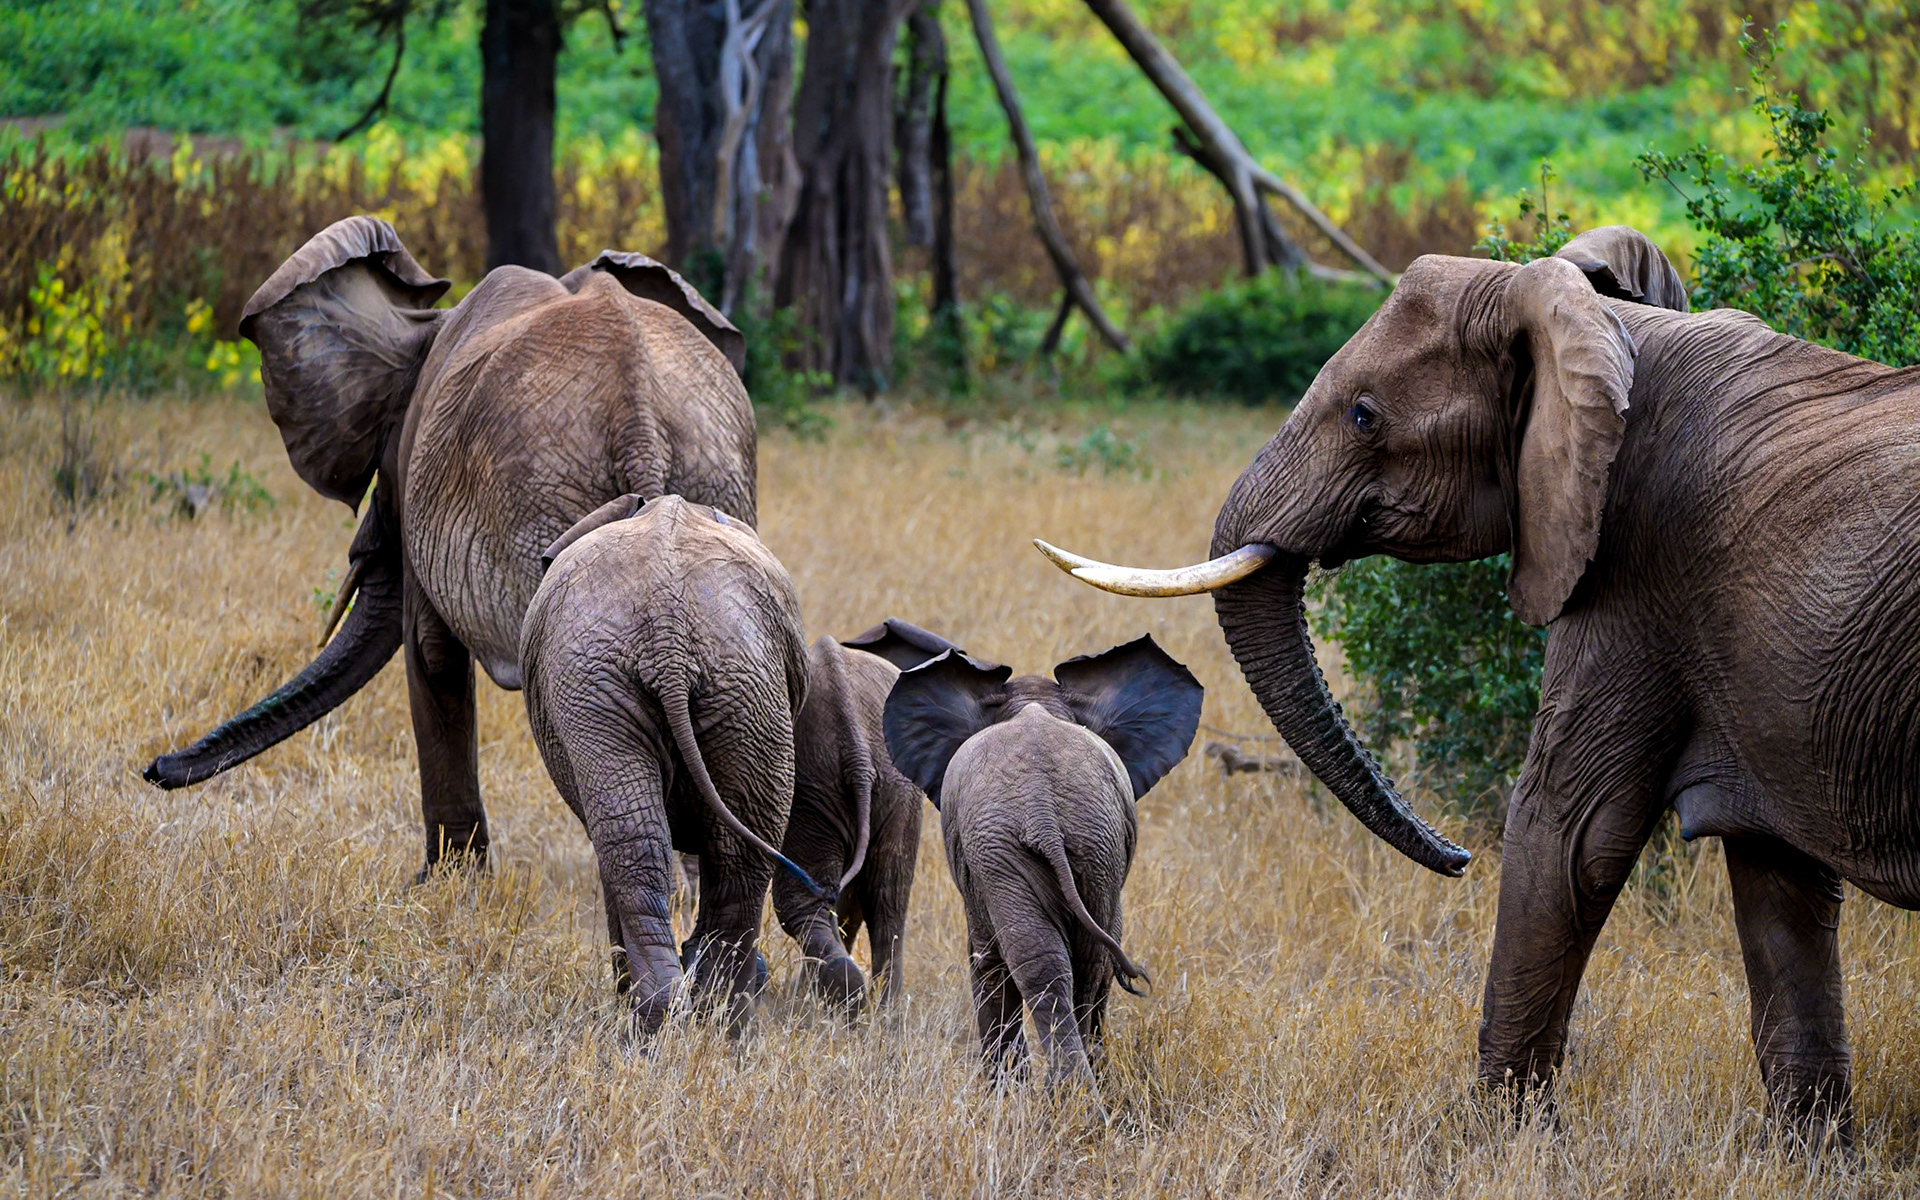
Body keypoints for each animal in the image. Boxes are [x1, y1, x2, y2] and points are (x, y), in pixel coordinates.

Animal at [142, 215, 754, 878]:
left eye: (384, 472)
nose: (154, 768)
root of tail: (640, 416)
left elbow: (431, 655)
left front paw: (441, 884)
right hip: (703, 482)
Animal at [522, 493, 815, 1031]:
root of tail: (668, 638)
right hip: (716, 685)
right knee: (708, 852)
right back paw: (700, 1021)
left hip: (691, 684)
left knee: (677, 849)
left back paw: (687, 1019)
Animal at [773, 619, 958, 1010]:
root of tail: (856, 746)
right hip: (893, 790)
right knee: (887, 902)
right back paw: (883, 1016)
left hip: (811, 789)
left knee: (802, 901)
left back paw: (821, 1002)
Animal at [884, 636, 1203, 1089]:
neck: (1034, 704)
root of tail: (1042, 810)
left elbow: (984, 960)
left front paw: (1002, 1092)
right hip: (1087, 842)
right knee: (1081, 965)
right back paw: (1079, 1091)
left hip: (1024, 847)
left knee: (1045, 965)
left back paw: (1068, 1092)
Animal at [1036, 223, 1920, 1138]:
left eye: (1363, 415)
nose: (1458, 858)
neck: (1609, 331)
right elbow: (1778, 878)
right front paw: (1814, 1151)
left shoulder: (1635, 566)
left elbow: (1572, 834)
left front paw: (1502, 1139)